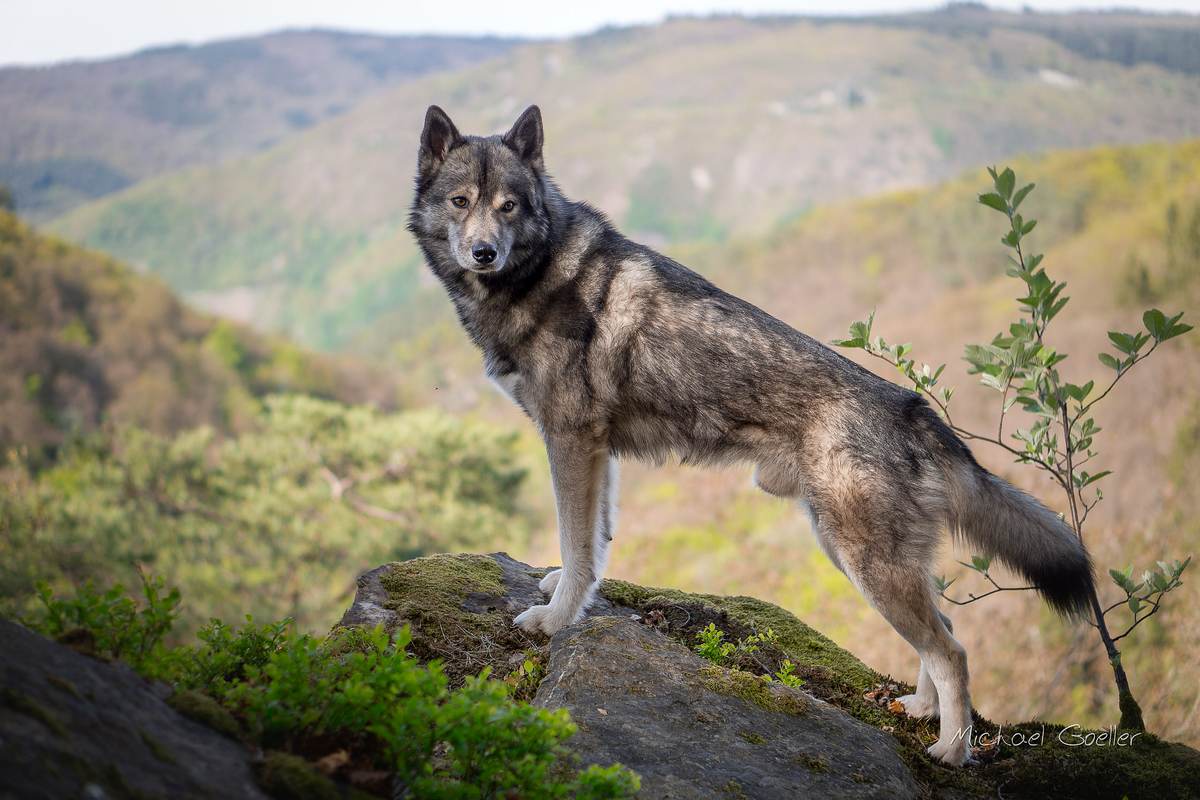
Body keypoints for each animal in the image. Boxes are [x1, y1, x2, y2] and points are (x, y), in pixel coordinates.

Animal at [405, 103, 1099, 767]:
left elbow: (577, 544)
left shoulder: (571, 441)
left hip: (864, 563)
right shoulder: (595, 453)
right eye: (461, 202)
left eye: (508, 206)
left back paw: (953, 751)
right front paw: (562, 593)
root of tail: (916, 411)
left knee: (952, 651)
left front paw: (552, 621)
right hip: (863, 558)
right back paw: (922, 712)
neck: (542, 272)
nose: (484, 252)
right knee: (946, 630)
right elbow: (594, 545)